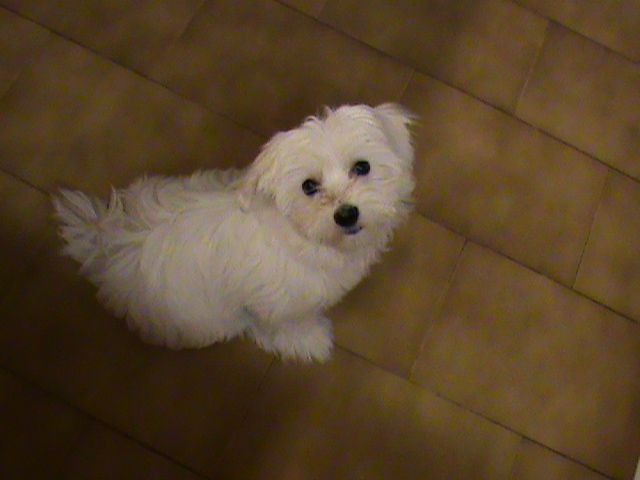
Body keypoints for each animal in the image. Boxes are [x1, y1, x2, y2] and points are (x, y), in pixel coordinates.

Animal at [53, 103, 415, 362]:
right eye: (309, 186)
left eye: (362, 167)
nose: (346, 214)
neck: (299, 234)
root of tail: (109, 241)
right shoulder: (278, 302)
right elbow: (285, 325)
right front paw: (311, 340)